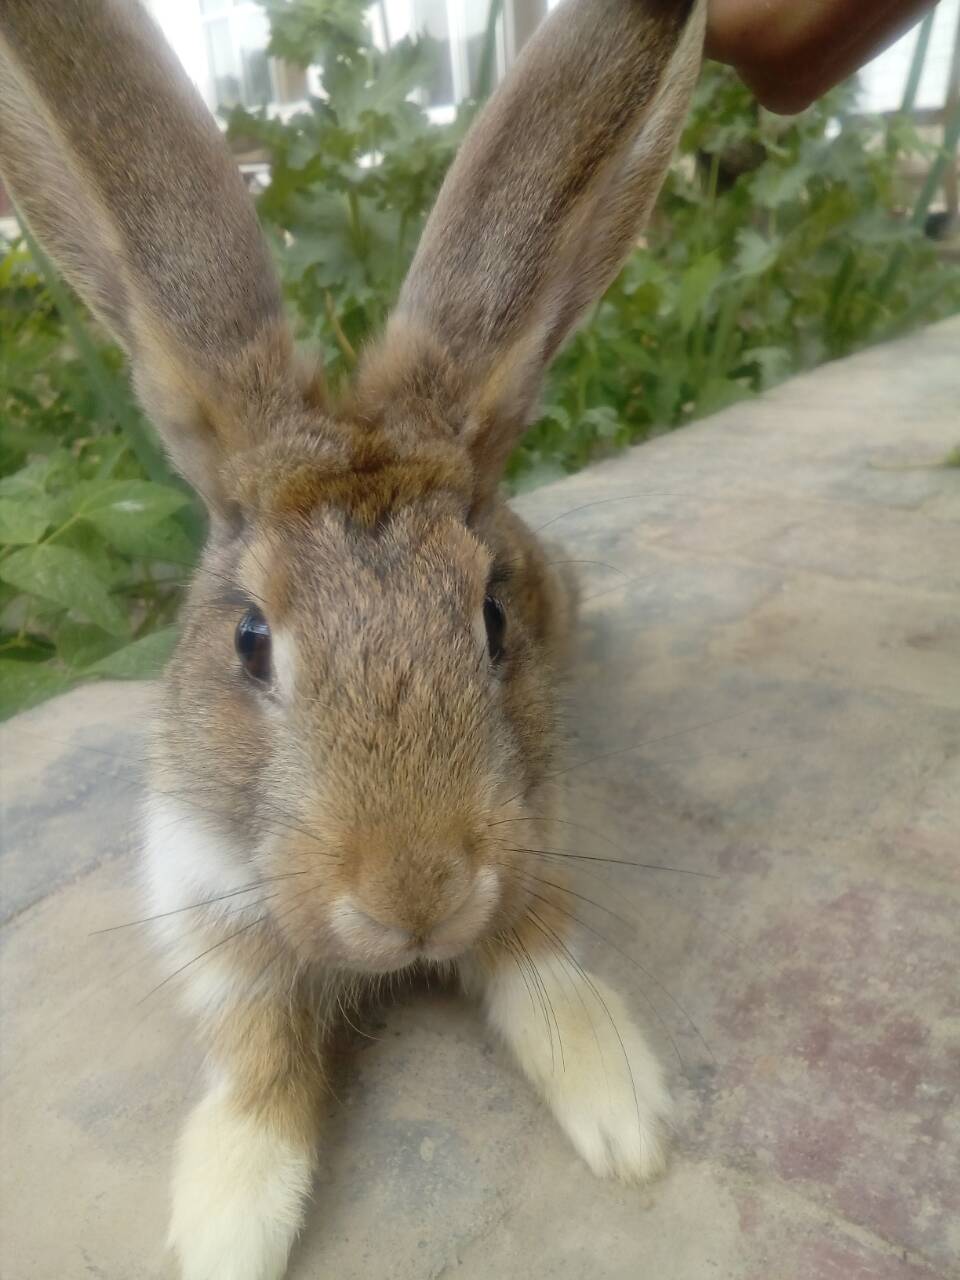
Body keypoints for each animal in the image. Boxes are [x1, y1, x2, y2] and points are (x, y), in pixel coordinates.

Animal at [0, 0, 706, 1276]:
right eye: (249, 638)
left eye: (491, 617)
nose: (415, 889)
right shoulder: (217, 913)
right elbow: (259, 1055)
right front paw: (228, 1225)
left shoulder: (534, 844)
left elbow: (544, 966)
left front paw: (625, 1120)